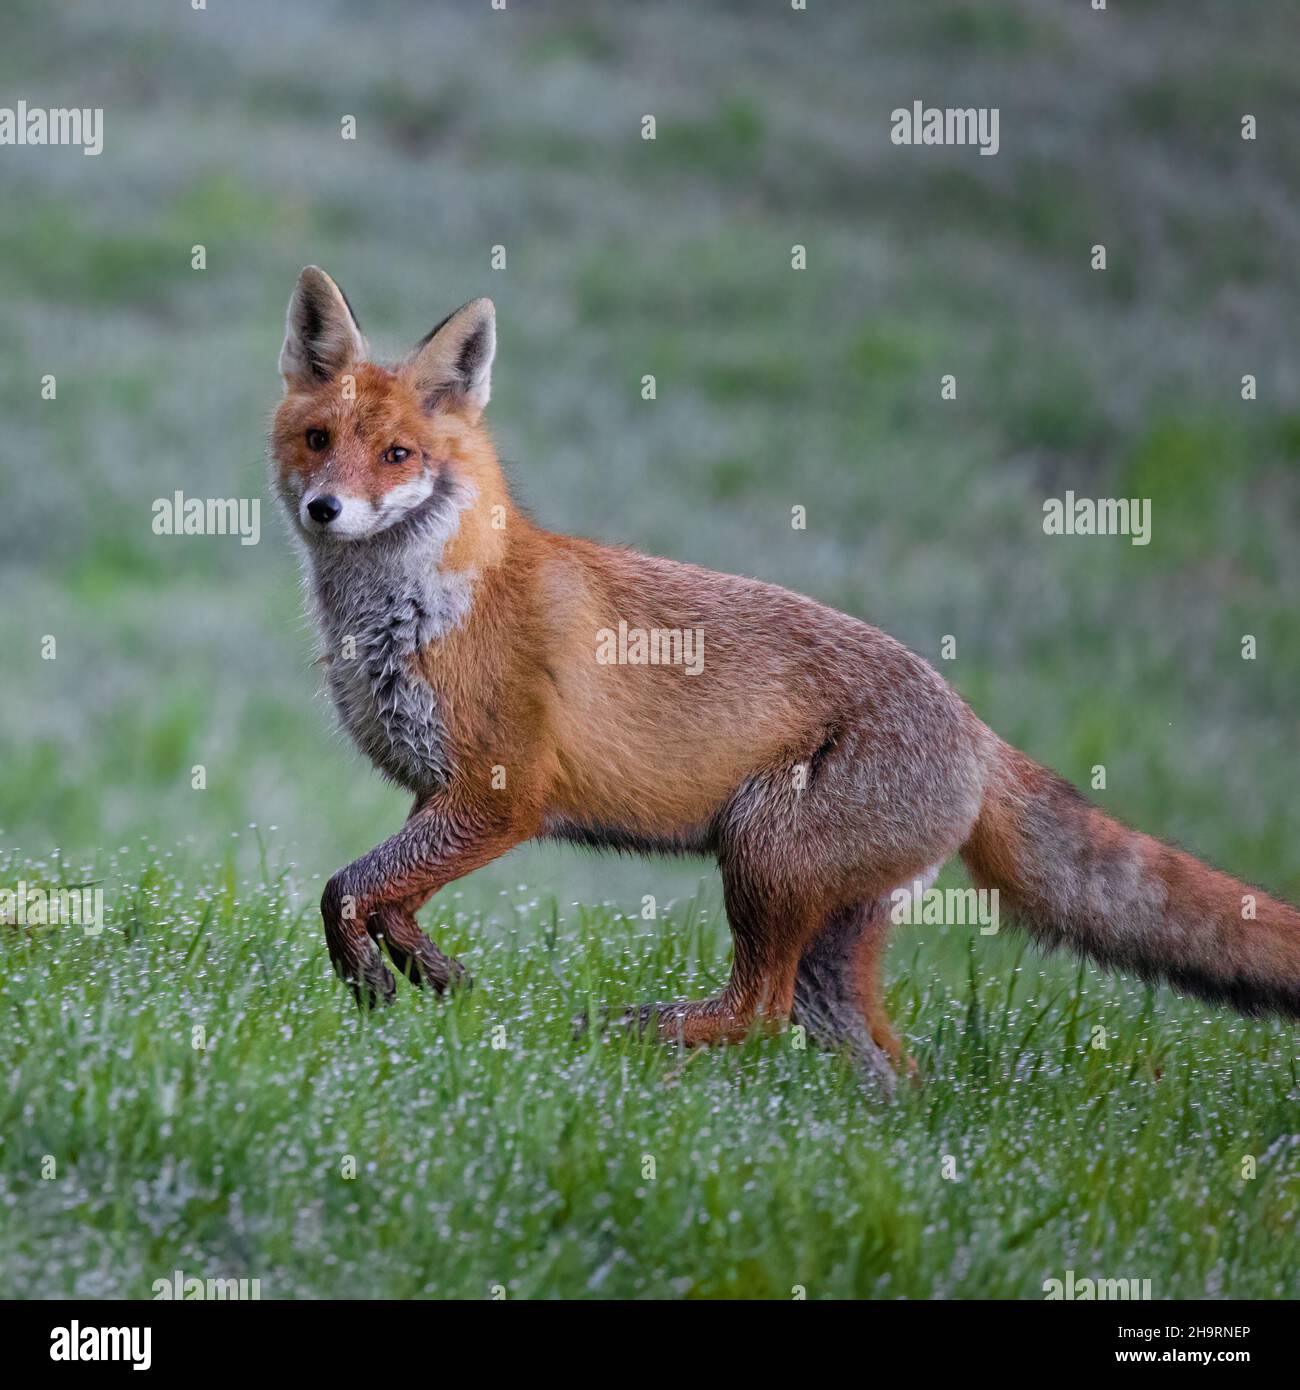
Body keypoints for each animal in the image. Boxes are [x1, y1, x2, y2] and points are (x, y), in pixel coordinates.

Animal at [270, 266, 1300, 1091]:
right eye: (319, 439)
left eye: (398, 456)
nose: (326, 509)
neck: (416, 611)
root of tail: (978, 733)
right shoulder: (439, 794)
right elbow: (387, 898)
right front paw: (430, 975)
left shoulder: (502, 795)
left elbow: (347, 888)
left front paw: (377, 980)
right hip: (828, 937)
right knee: (882, 1060)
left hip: (763, 858)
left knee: (755, 1008)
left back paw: (626, 1034)